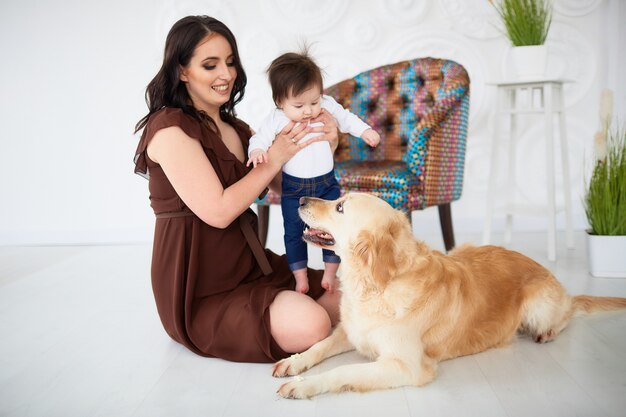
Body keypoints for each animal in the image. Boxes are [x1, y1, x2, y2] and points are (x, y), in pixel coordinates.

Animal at [270, 193, 624, 398]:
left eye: (340, 206)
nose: (300, 198)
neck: (374, 285)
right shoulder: (351, 331)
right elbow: (320, 345)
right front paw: (294, 362)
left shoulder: (408, 366)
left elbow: (343, 371)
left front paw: (305, 385)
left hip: (538, 306)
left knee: (566, 315)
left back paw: (548, 331)